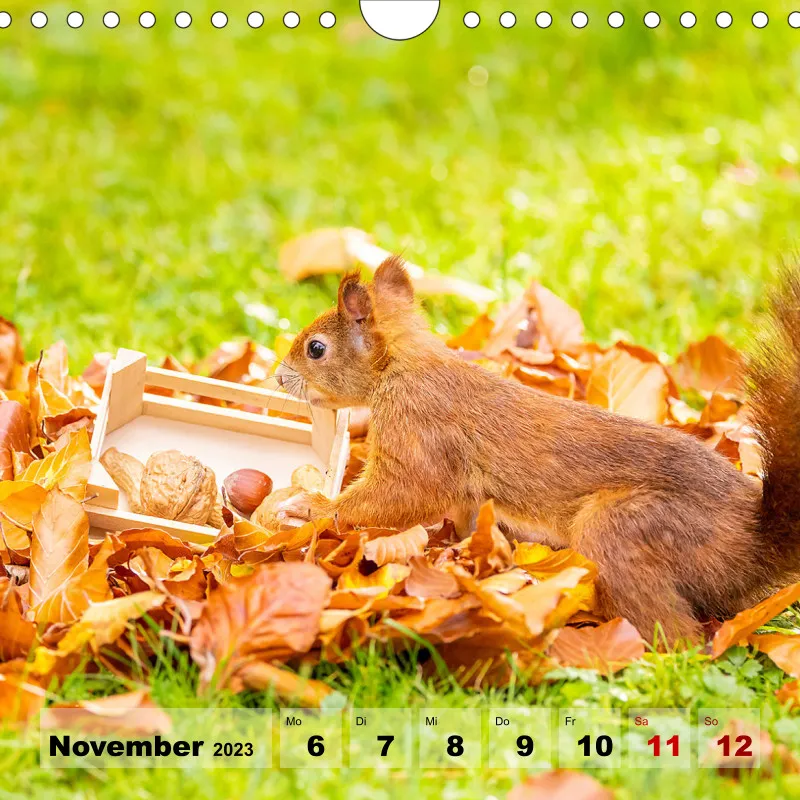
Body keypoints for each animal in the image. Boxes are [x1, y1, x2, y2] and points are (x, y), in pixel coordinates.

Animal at [275, 256, 800, 644]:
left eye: (316, 348)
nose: (279, 378)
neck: (403, 367)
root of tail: (753, 546)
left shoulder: (418, 432)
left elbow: (401, 493)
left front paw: (312, 505)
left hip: (627, 529)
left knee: (678, 635)